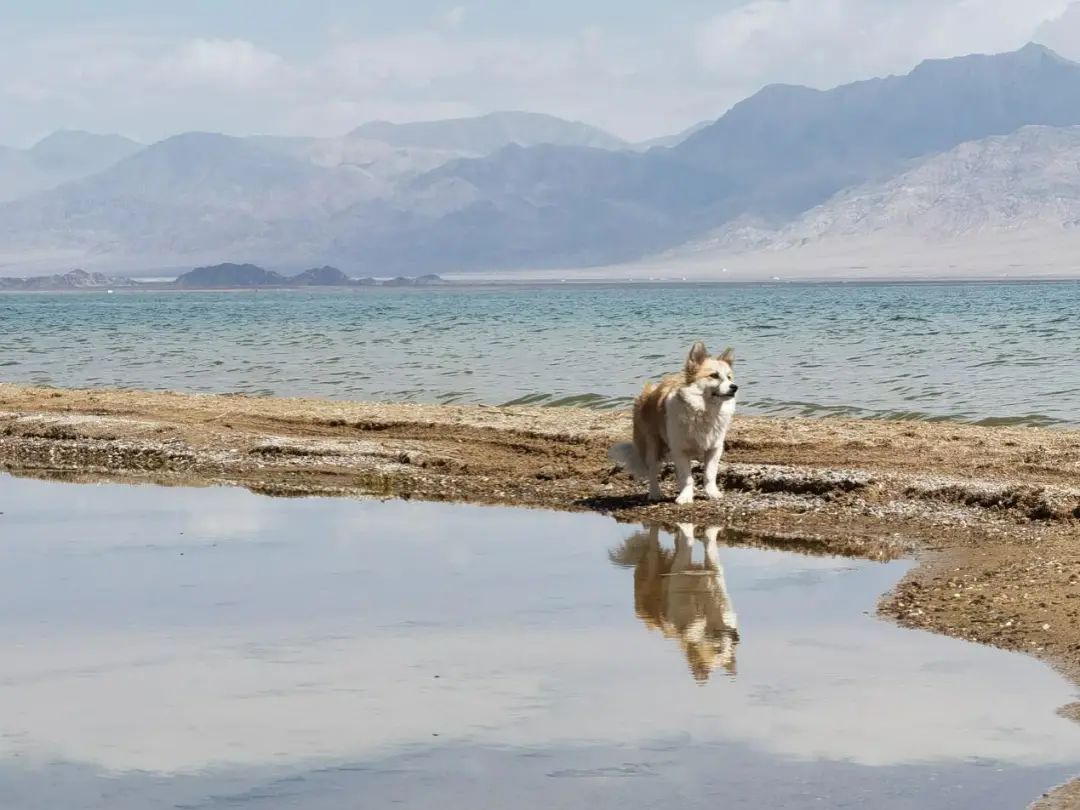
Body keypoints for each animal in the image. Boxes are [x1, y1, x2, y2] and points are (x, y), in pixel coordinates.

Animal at [609, 343, 734, 507]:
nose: (734, 387)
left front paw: (712, 493)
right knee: (652, 471)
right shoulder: (680, 449)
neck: (703, 409)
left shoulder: (714, 448)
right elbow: (687, 477)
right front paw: (686, 497)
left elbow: (709, 474)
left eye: (729, 377)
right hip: (651, 445)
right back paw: (655, 493)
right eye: (714, 375)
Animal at [613, 527, 738, 686]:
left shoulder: (714, 576)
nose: (734, 637)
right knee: (653, 544)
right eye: (716, 649)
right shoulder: (680, 572)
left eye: (725, 650)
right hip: (651, 570)